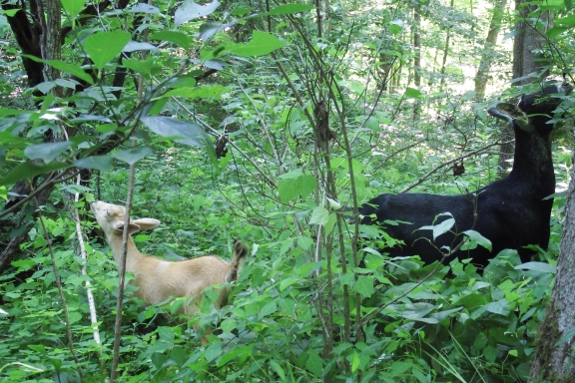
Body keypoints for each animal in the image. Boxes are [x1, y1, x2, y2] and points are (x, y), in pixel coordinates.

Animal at [91, 201, 249, 342]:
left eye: (107, 212)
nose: (94, 202)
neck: (133, 262)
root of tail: (228, 270)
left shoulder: (138, 302)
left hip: (199, 307)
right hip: (229, 305)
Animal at [360, 82, 572, 268]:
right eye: (537, 98)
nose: (566, 84)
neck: (532, 198)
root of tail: (360, 210)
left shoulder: (539, 246)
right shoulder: (520, 246)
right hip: (377, 248)